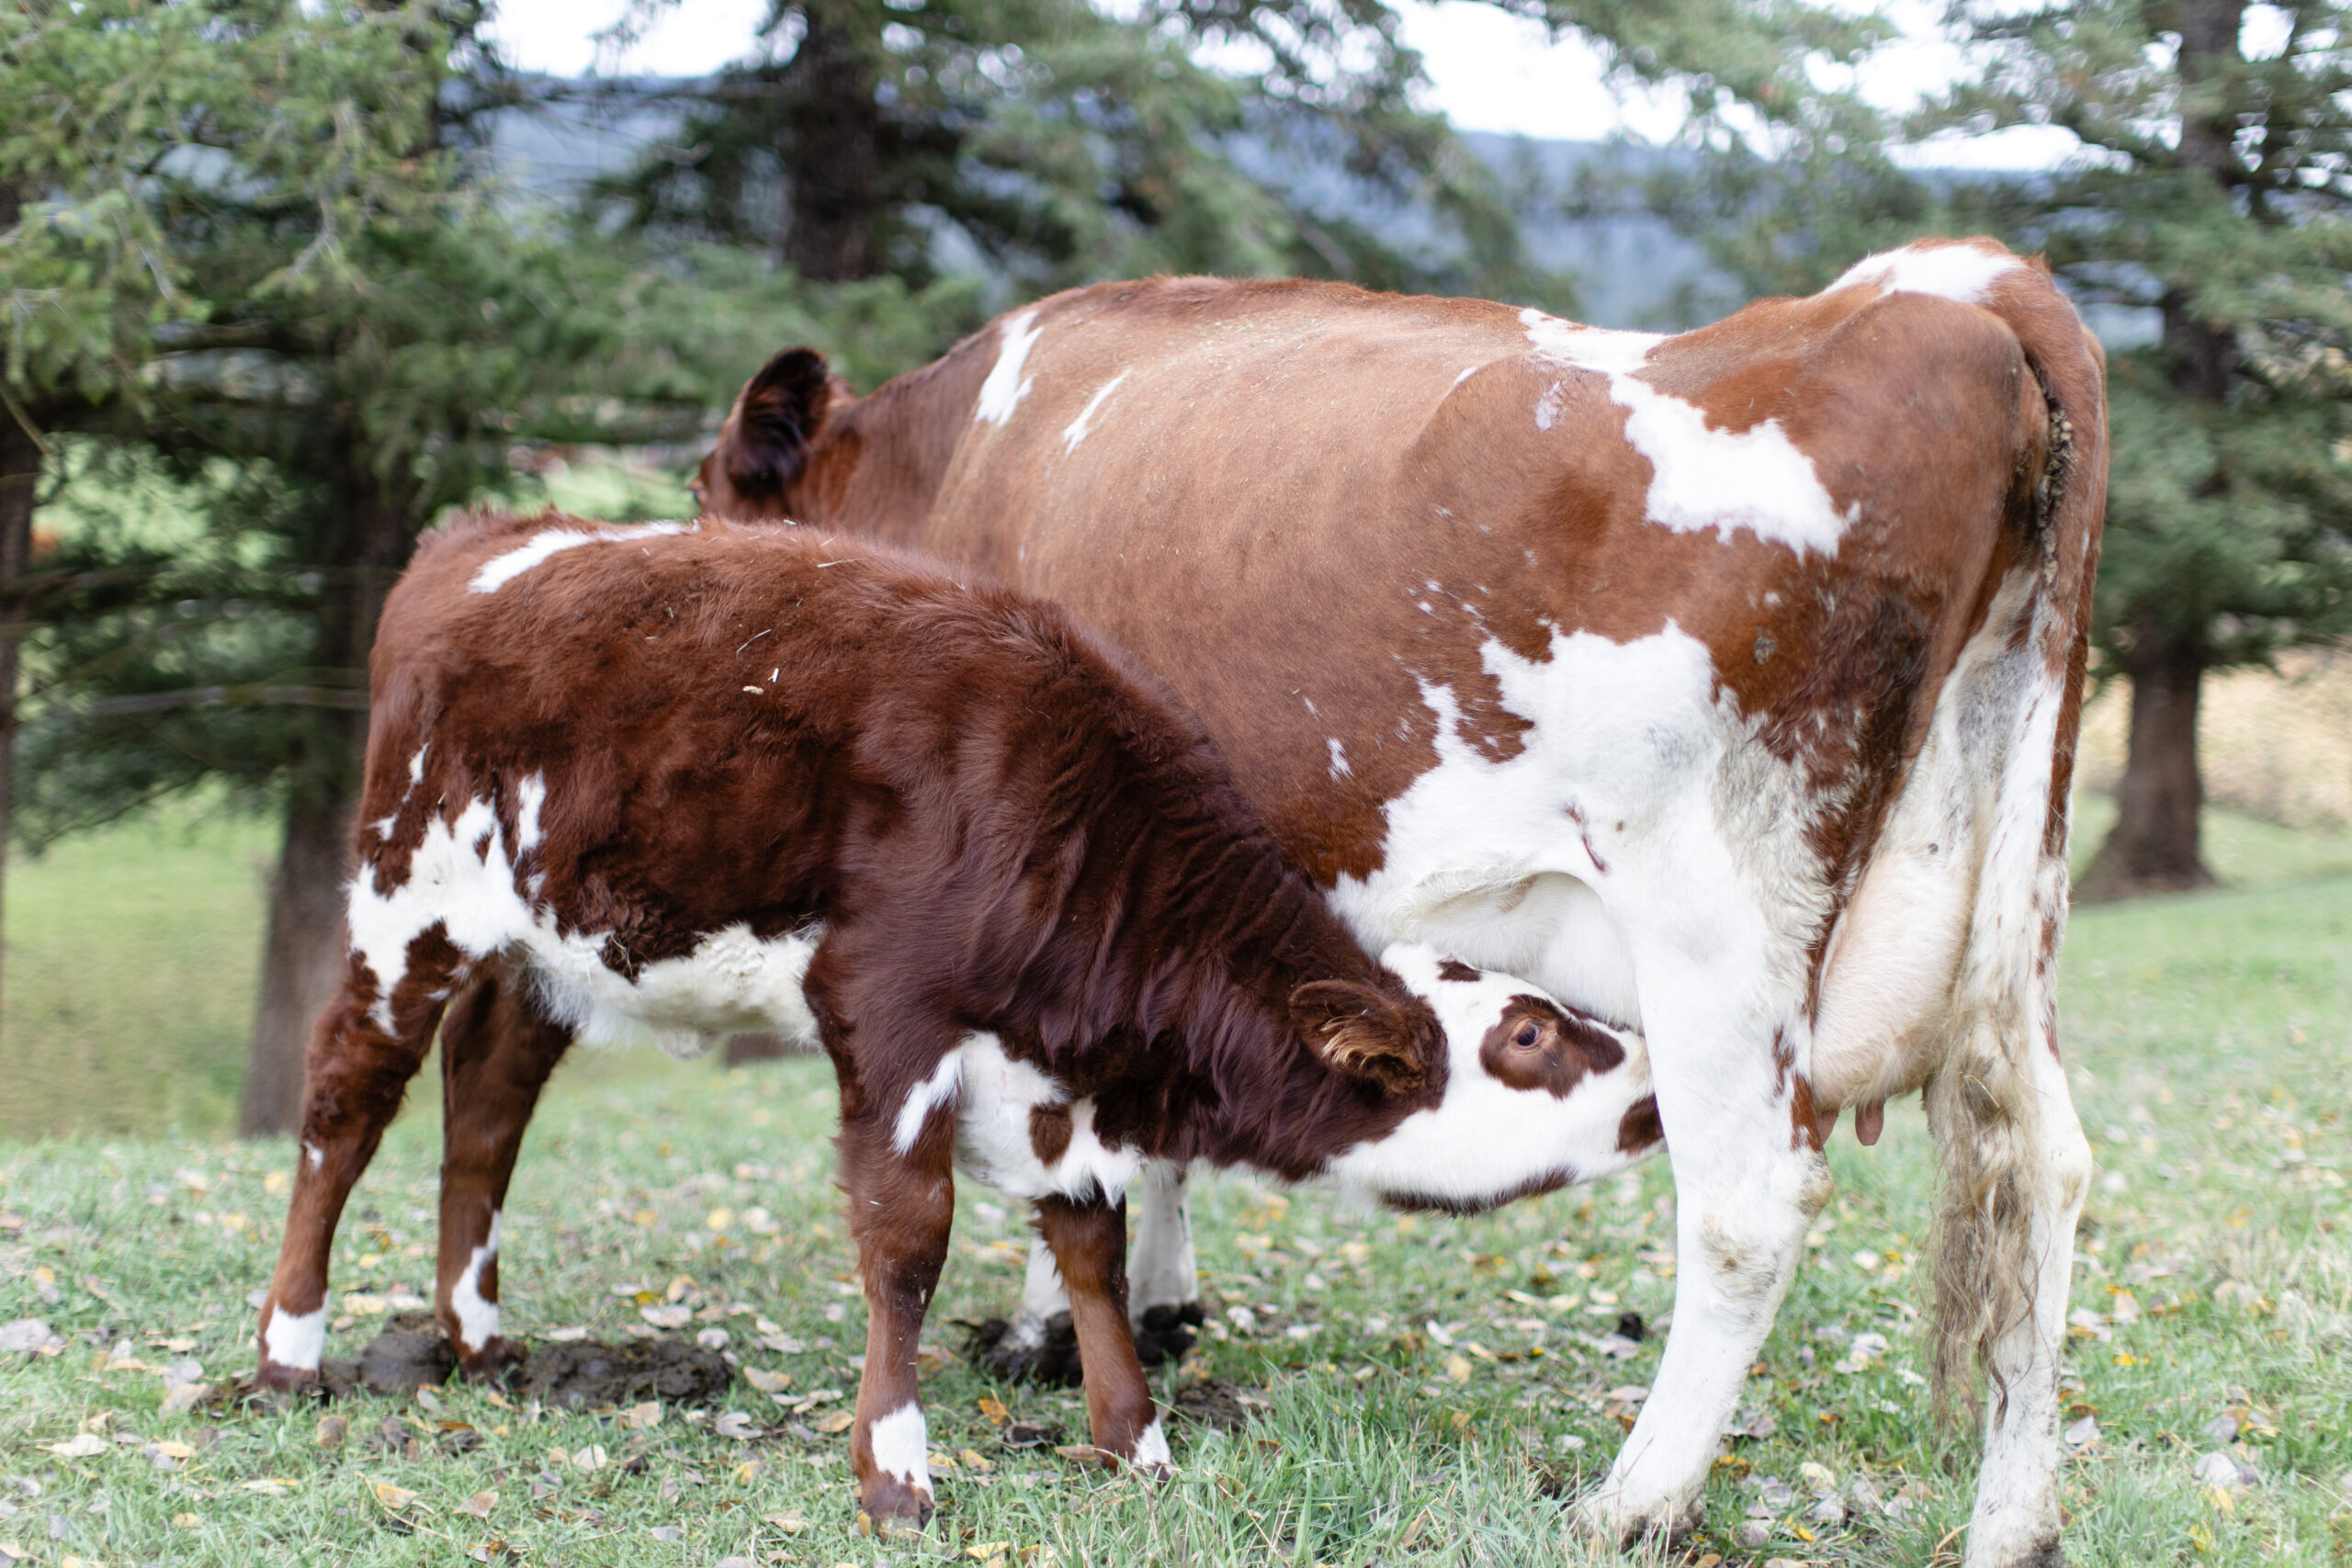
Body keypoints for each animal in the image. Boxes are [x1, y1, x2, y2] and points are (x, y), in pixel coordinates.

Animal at [252, 511, 1663, 1530]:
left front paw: (1135, 1438)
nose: (1658, 1083)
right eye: (1528, 1037)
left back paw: (478, 1336)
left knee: (489, 1095)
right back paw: (288, 1350)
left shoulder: (1049, 1077)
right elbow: (906, 1243)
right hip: (405, 890)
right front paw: (895, 1469)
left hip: (545, 942)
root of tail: (485, 537)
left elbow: (1090, 1242)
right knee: (345, 1100)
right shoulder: (892, 1016)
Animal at [408, 237, 2106, 1565]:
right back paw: (2013, 1519)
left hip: (1713, 910)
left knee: (1750, 1199)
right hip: (2010, 908)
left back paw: (1633, 1498)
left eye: (700, 520)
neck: (952, 464)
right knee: (2038, 1158)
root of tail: (1938, 287)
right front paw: (1146, 1310)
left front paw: (1058, 1325)